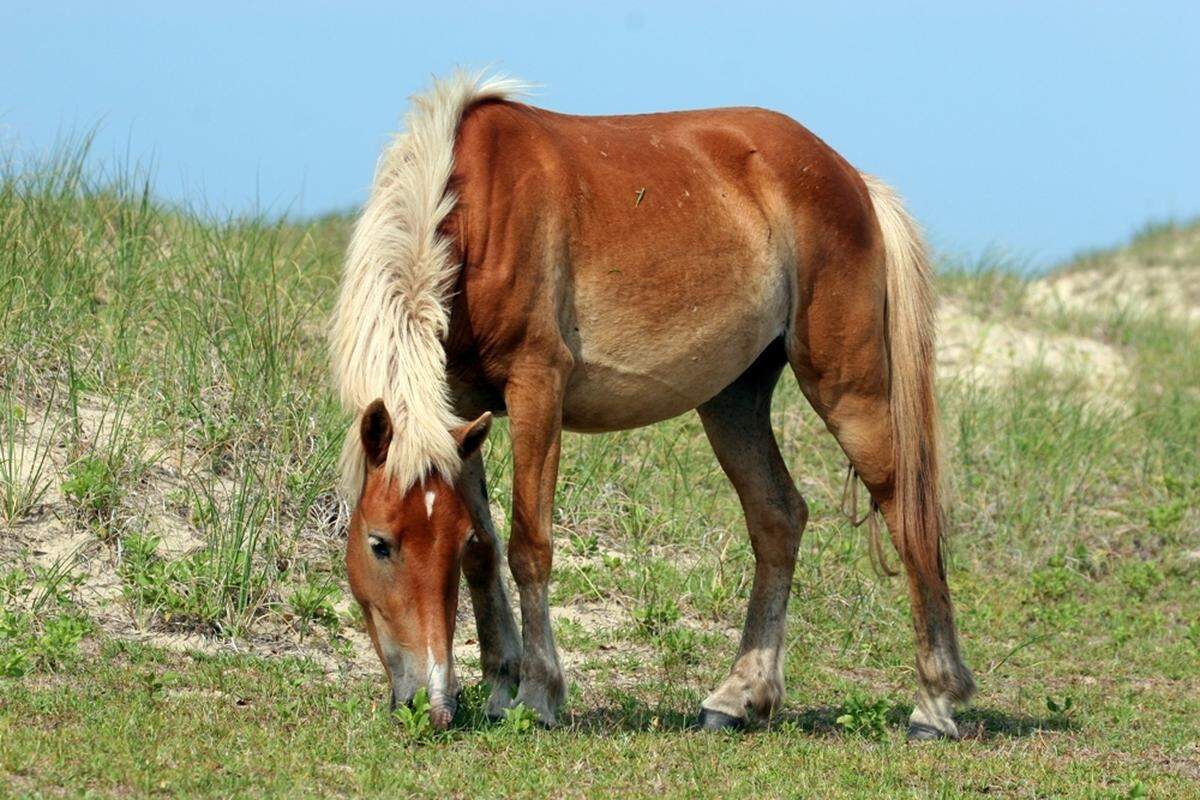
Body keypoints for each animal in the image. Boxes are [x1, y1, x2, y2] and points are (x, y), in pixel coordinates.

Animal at [330, 72, 975, 737]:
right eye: (380, 542)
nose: (430, 705)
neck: (474, 211)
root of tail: (852, 180)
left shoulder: (537, 386)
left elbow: (529, 547)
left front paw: (537, 695)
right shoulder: (458, 404)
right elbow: (487, 550)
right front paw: (500, 686)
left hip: (848, 389)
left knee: (907, 516)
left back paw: (935, 703)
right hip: (733, 400)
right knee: (778, 518)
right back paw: (739, 696)